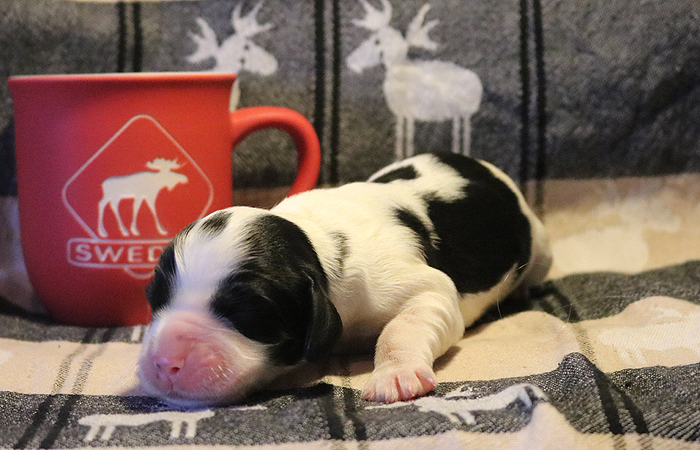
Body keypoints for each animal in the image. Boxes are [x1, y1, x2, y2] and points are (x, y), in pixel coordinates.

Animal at [137, 152, 552, 406]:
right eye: (153, 299)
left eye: (247, 313)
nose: (164, 362)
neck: (315, 242)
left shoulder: (426, 288)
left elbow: (405, 325)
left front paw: (395, 376)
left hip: (541, 246)